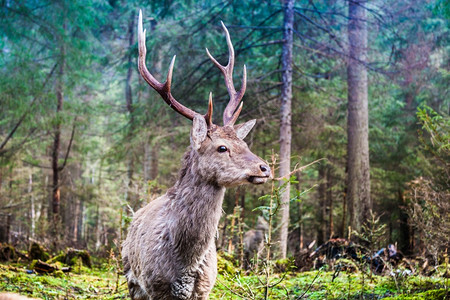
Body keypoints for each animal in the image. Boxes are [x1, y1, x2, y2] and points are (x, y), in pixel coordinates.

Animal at [120, 9, 270, 300]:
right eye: (222, 147)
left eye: (244, 143)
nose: (264, 168)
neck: (185, 264)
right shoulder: (155, 287)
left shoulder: (204, 288)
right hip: (131, 278)